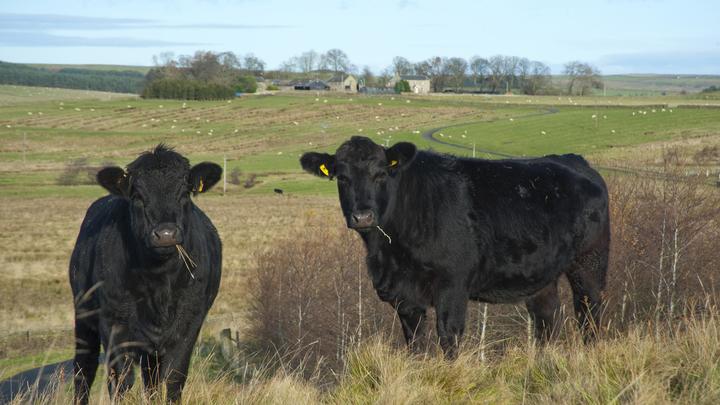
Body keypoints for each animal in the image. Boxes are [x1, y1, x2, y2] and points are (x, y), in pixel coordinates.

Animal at [70, 144, 224, 400]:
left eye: (184, 193)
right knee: (84, 370)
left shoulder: (189, 324)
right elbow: (120, 381)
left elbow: (174, 378)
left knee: (151, 379)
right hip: (84, 316)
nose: (166, 234)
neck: (159, 282)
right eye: (138, 196)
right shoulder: (113, 323)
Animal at [300, 137, 612, 356]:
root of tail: (574, 160)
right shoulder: (403, 295)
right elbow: (414, 341)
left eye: (381, 174)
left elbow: (448, 336)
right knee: (547, 320)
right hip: (541, 275)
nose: (363, 216)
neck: (388, 254)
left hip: (589, 263)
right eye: (342, 177)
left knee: (589, 314)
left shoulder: (452, 283)